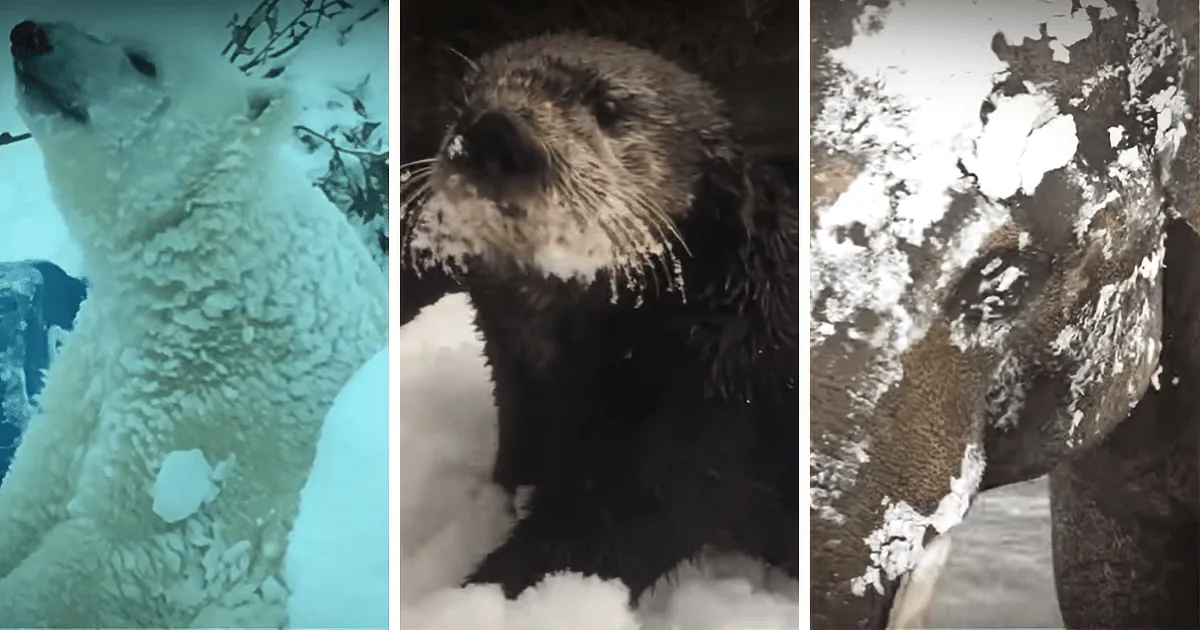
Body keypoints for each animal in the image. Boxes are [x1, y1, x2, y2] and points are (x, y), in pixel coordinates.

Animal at [0, 19, 388, 627]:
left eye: (142, 61)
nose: (29, 33)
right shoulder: (96, 358)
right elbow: (36, 481)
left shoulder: (217, 418)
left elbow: (130, 546)